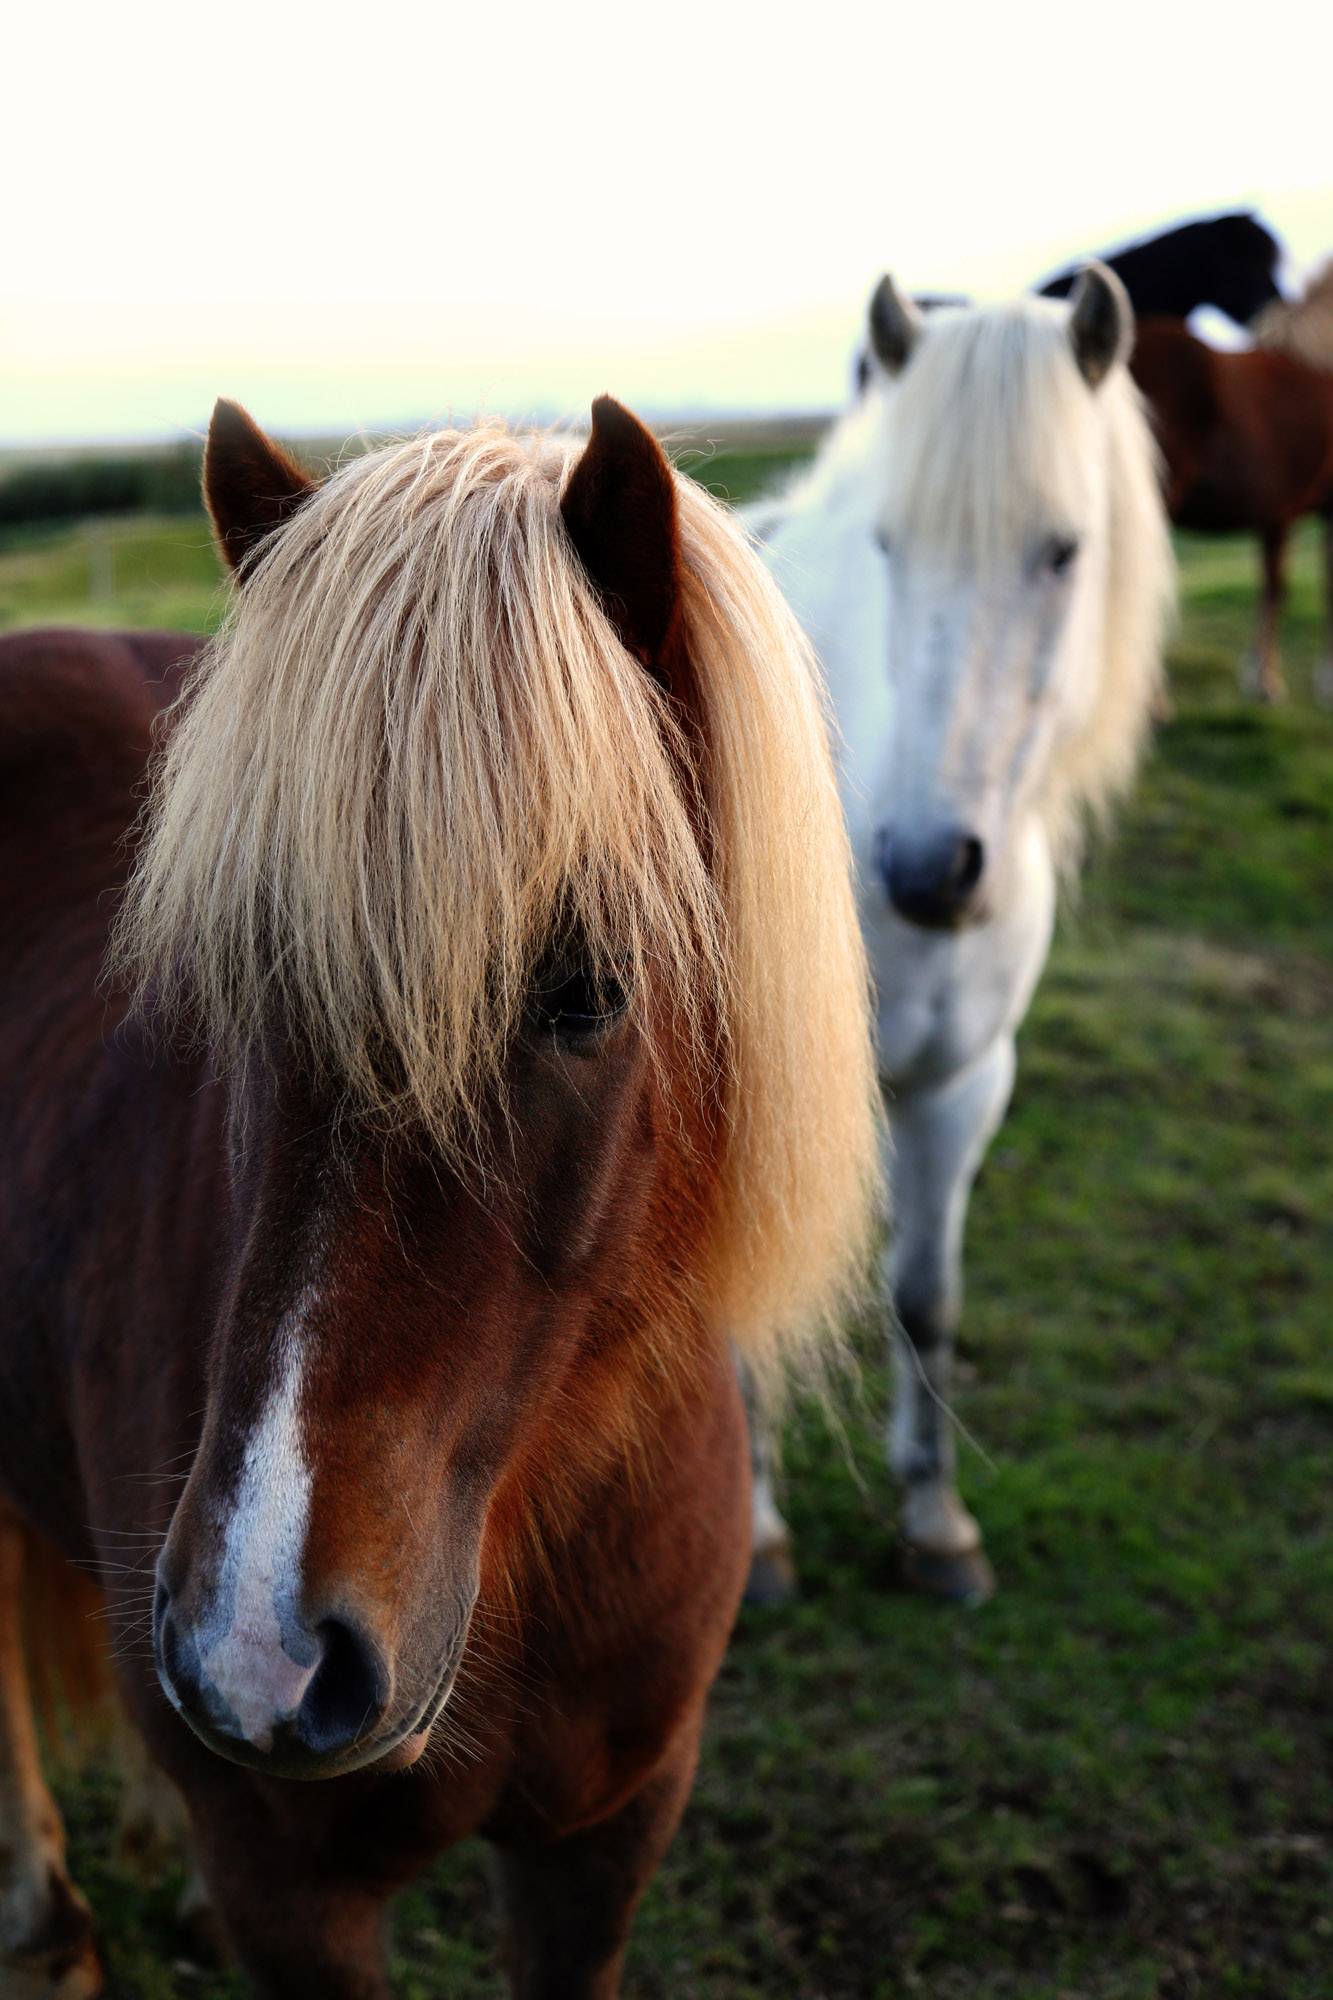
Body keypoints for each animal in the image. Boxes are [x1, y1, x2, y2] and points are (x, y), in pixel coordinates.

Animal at [745, 268, 1174, 1604]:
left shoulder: (964, 1082)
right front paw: (758, 1537)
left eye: (1062, 549)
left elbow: (927, 1297)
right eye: (890, 543)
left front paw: (934, 1519)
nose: (929, 866)